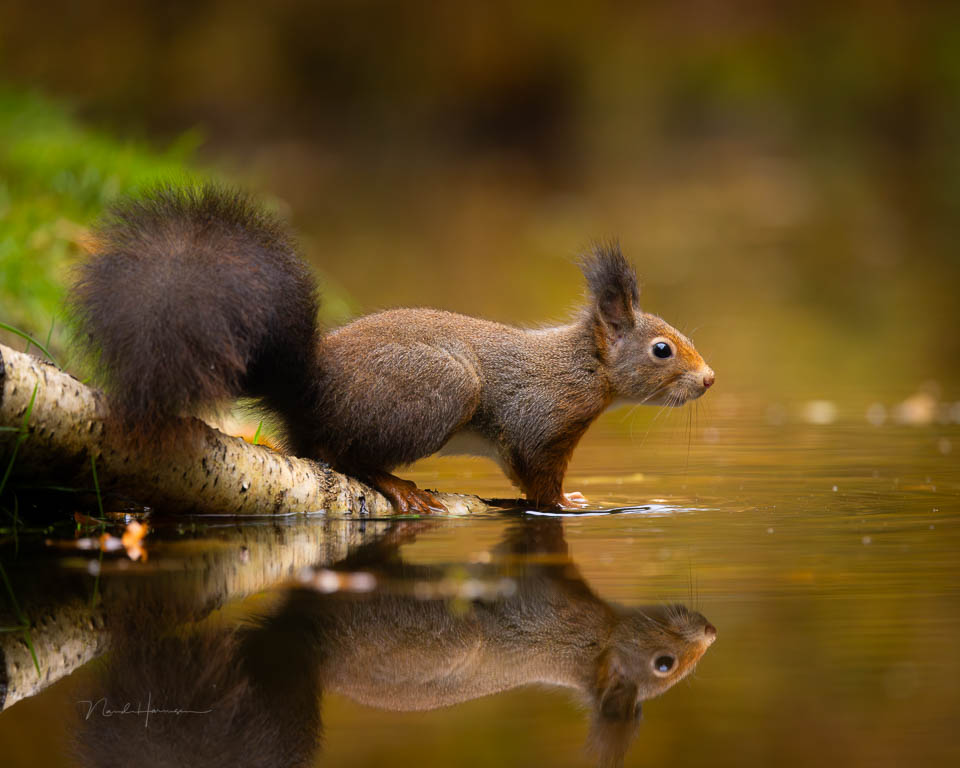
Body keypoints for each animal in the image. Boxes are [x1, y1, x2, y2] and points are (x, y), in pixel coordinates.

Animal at [69, 183, 712, 512]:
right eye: (662, 350)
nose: (708, 380)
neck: (582, 369)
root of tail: (311, 384)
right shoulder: (539, 424)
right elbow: (537, 482)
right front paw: (568, 505)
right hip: (438, 390)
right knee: (340, 454)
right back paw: (395, 484)